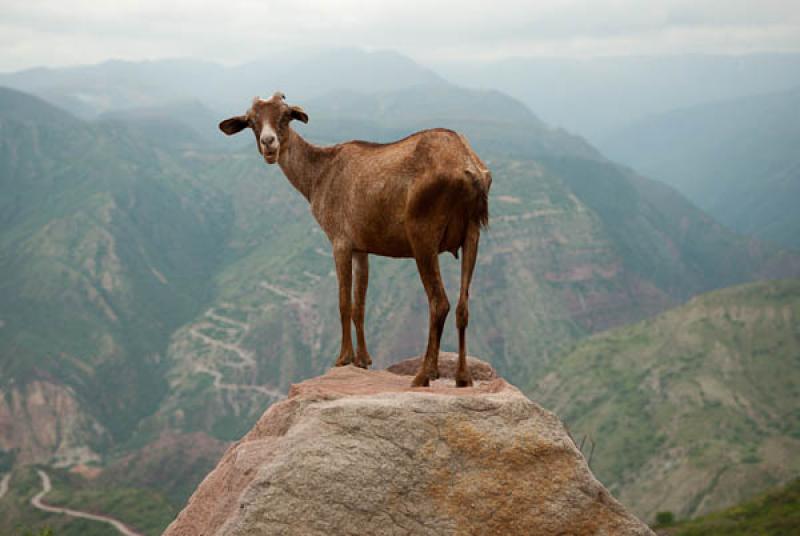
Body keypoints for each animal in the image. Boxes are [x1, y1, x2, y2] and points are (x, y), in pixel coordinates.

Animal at [222, 91, 490, 386]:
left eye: (284, 116)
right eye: (251, 121)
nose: (268, 143)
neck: (320, 174)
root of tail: (469, 169)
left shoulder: (340, 241)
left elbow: (343, 302)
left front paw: (343, 358)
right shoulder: (362, 248)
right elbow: (359, 304)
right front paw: (363, 359)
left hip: (423, 237)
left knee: (439, 302)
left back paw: (423, 375)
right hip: (473, 234)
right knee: (463, 307)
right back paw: (462, 378)